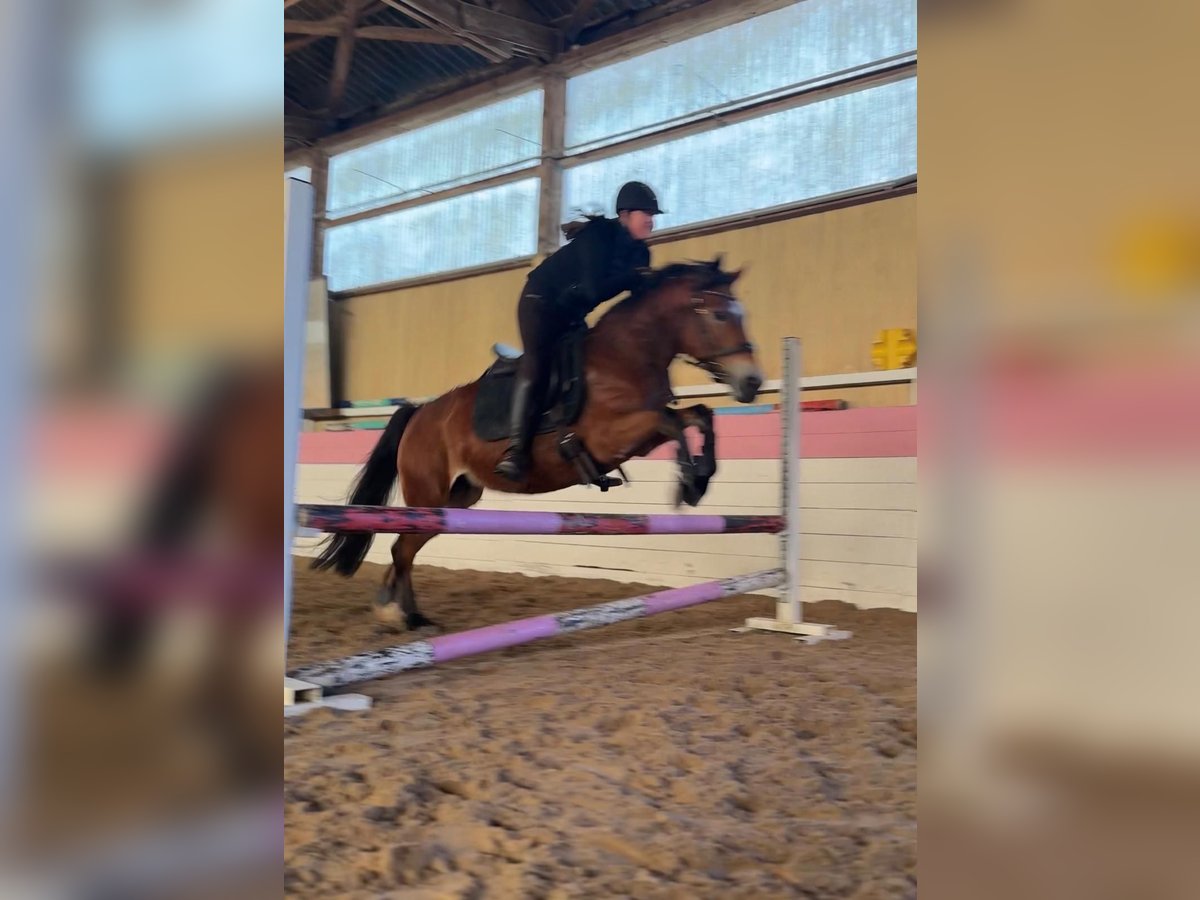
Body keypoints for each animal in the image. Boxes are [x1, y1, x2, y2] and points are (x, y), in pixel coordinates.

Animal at [311, 258, 765, 630]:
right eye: (720, 314)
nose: (751, 382)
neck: (624, 355)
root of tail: (420, 413)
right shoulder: (611, 436)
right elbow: (670, 420)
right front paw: (690, 482)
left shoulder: (639, 437)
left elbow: (698, 415)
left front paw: (701, 476)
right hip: (429, 495)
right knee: (402, 548)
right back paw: (397, 614)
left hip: (456, 500)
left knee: (404, 548)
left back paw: (405, 612)